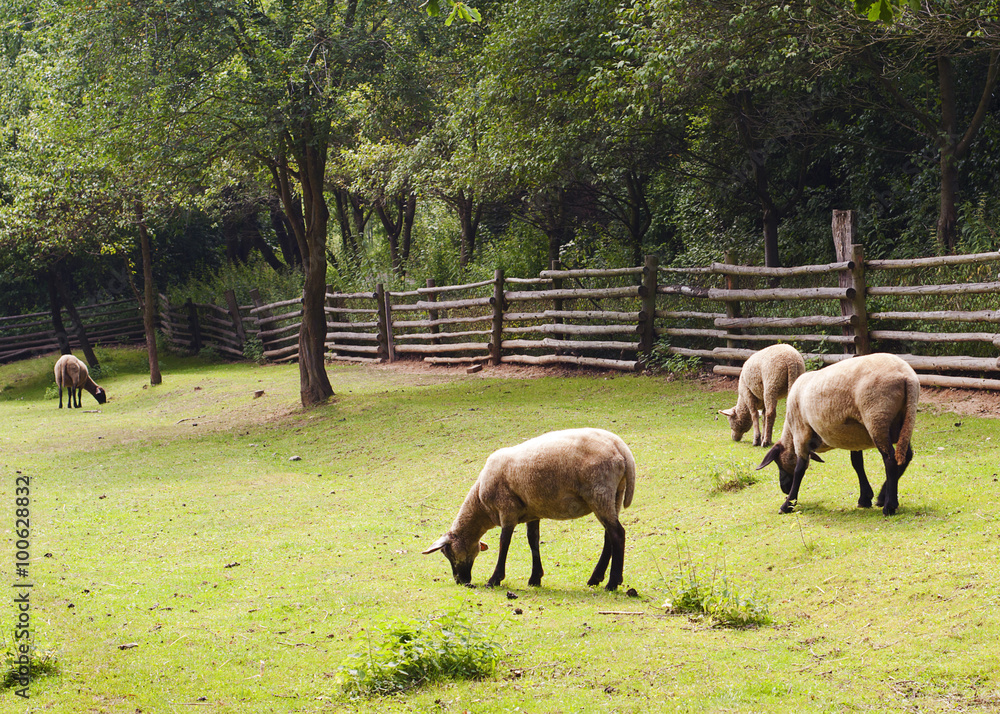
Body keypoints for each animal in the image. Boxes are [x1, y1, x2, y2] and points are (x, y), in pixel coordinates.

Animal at [423, 428, 636, 591]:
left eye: (448, 553)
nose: (461, 581)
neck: (481, 505)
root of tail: (621, 447)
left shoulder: (506, 509)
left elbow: (504, 542)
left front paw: (494, 579)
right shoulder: (533, 512)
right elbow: (533, 541)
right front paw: (535, 579)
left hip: (599, 492)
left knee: (617, 533)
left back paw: (612, 583)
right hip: (614, 495)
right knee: (609, 536)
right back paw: (595, 579)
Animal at [756, 353, 919, 516]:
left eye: (778, 462)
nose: (784, 489)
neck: (790, 432)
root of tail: (907, 376)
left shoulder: (801, 432)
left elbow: (799, 469)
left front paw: (787, 505)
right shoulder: (854, 437)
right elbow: (857, 463)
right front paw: (865, 498)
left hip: (877, 419)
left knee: (890, 459)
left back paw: (889, 506)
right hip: (903, 422)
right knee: (905, 456)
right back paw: (882, 497)